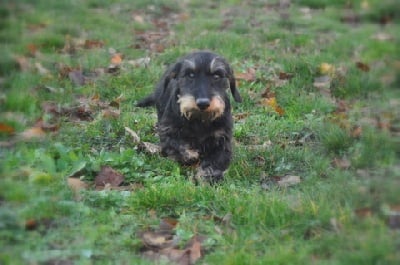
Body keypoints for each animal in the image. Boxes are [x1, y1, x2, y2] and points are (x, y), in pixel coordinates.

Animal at [136, 50, 242, 180]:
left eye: (217, 76)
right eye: (190, 75)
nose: (203, 103)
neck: (200, 119)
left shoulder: (222, 141)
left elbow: (216, 161)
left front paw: (207, 177)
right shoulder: (167, 131)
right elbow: (175, 145)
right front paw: (190, 154)